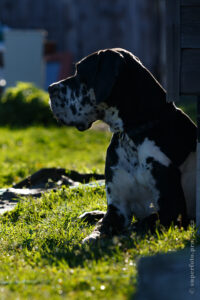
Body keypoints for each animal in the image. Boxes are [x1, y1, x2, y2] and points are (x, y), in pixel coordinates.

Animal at [48, 47, 197, 244]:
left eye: (81, 72)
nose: (50, 88)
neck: (132, 134)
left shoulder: (170, 208)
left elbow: (136, 227)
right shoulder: (116, 208)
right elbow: (100, 228)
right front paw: (94, 237)